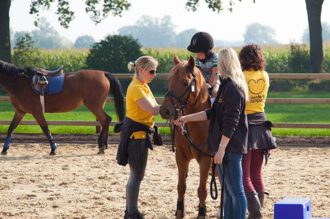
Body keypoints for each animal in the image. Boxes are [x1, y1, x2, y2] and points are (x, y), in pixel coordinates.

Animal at [159, 57, 211, 219]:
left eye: (185, 82)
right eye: (169, 80)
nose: (165, 110)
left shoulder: (206, 159)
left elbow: (202, 190)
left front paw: (201, 213)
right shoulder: (181, 156)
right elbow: (181, 187)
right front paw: (179, 212)